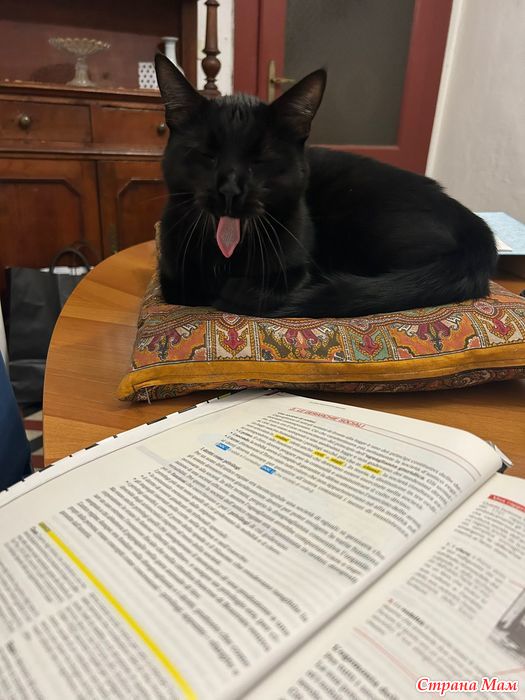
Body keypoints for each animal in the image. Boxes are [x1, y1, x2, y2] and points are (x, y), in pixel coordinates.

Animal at [154, 53, 497, 318]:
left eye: (260, 159)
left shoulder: (298, 269)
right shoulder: (171, 276)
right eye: (206, 155)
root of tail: (471, 222)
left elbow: (263, 289)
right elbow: (190, 286)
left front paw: (233, 291)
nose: (229, 190)